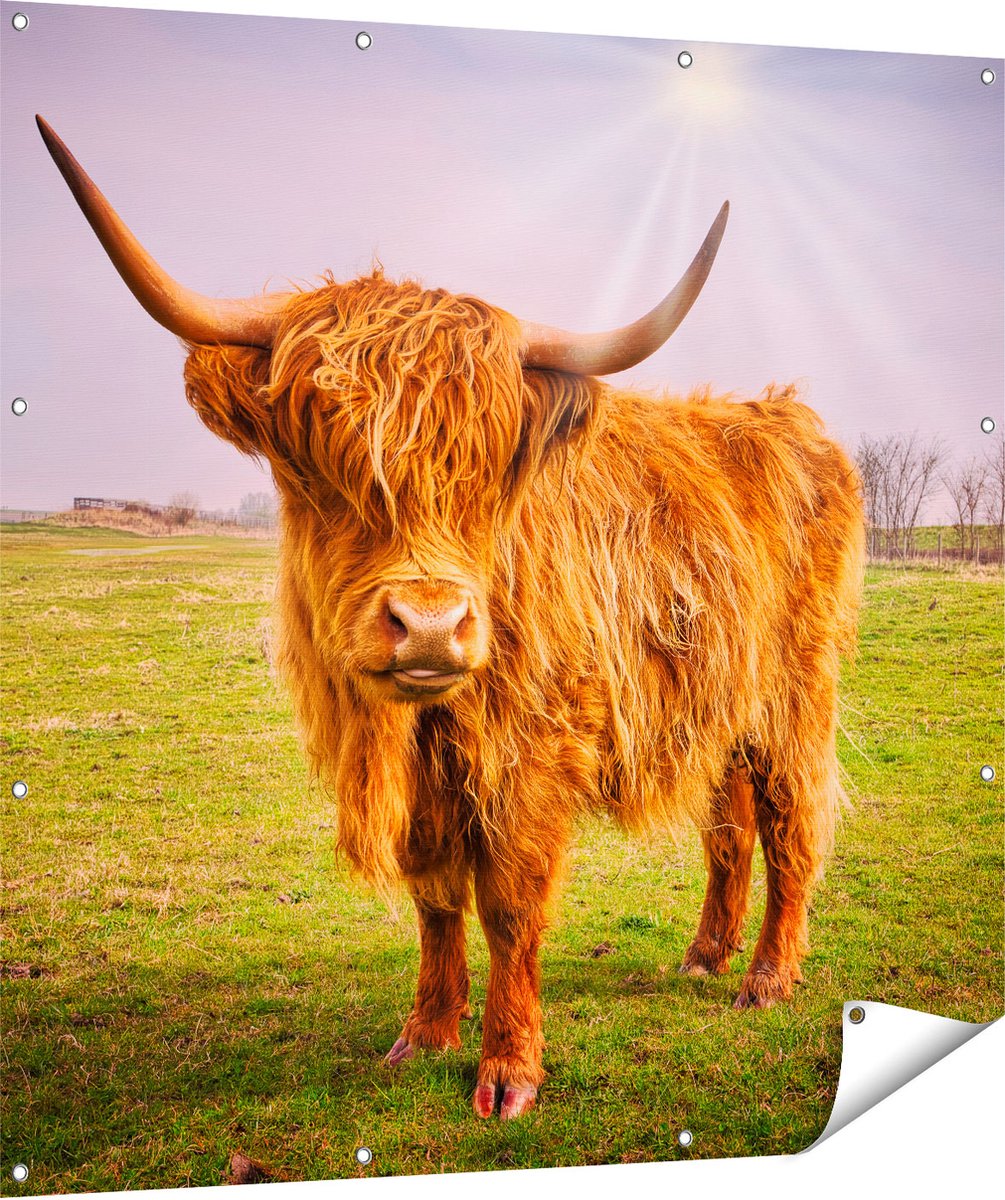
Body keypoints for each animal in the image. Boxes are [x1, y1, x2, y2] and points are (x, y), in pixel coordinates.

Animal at [38, 115, 864, 1121]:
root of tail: (782, 414)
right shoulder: (427, 781)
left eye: (488, 469)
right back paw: (706, 954)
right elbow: (435, 896)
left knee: (789, 819)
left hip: (794, 692)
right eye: (318, 461)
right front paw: (426, 1033)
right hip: (720, 696)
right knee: (730, 821)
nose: (430, 625)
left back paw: (767, 977)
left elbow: (508, 903)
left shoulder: (531, 752)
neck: (421, 727)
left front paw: (508, 1070)